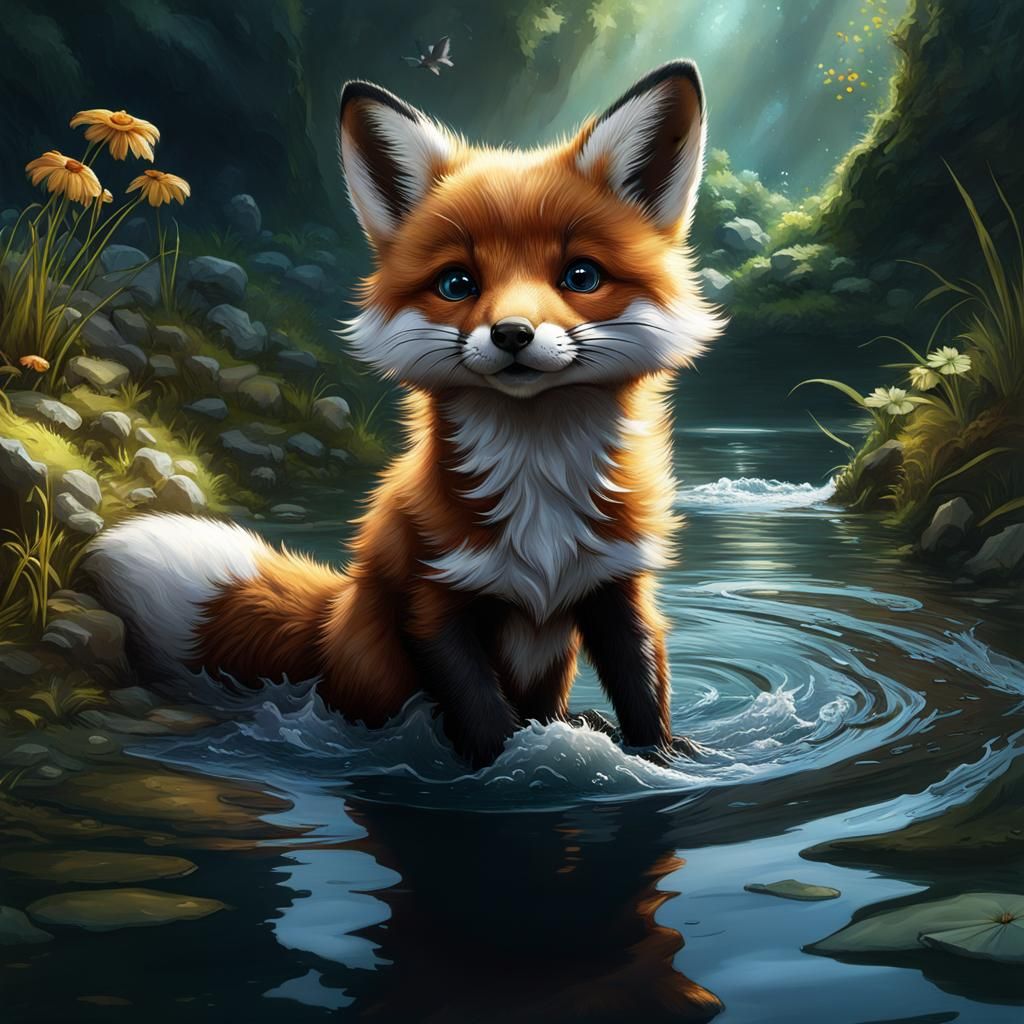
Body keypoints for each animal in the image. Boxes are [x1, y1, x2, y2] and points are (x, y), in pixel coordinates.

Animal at [85, 60, 724, 768]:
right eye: (457, 284)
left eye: (581, 276)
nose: (512, 334)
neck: (540, 507)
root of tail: (331, 620)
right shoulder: (433, 597)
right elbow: (482, 714)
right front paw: (507, 767)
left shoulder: (616, 583)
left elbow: (643, 684)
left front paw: (661, 757)